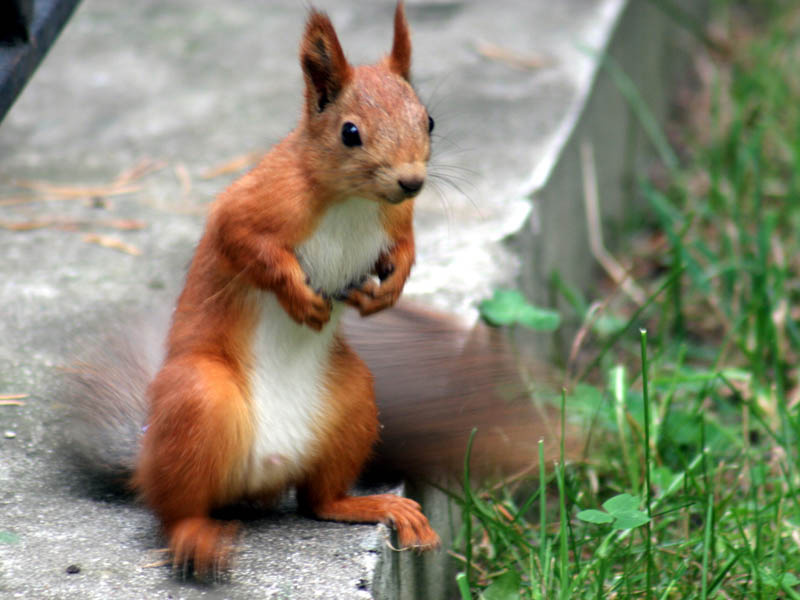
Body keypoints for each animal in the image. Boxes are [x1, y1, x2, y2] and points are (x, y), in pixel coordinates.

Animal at [64, 2, 571, 578]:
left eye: (429, 120)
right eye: (350, 132)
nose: (412, 181)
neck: (352, 199)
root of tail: (261, 471)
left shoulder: (397, 220)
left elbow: (406, 248)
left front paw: (388, 290)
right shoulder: (251, 206)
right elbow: (247, 245)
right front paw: (298, 296)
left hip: (354, 399)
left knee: (318, 501)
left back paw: (373, 506)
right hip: (198, 399)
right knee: (176, 507)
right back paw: (194, 536)